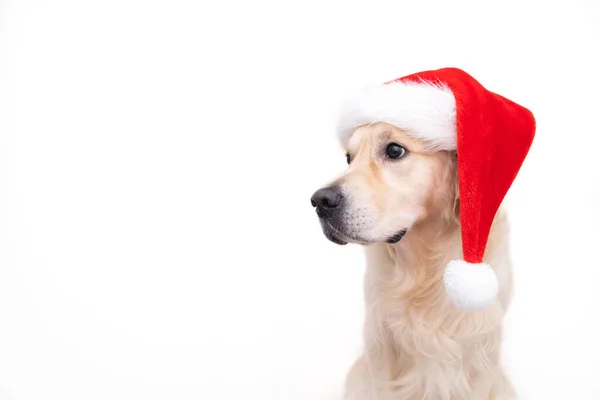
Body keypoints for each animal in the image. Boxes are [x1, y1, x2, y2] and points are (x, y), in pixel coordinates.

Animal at [312, 122, 512, 400]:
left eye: (394, 150)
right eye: (349, 158)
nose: (320, 201)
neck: (423, 269)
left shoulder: (479, 347)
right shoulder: (381, 342)